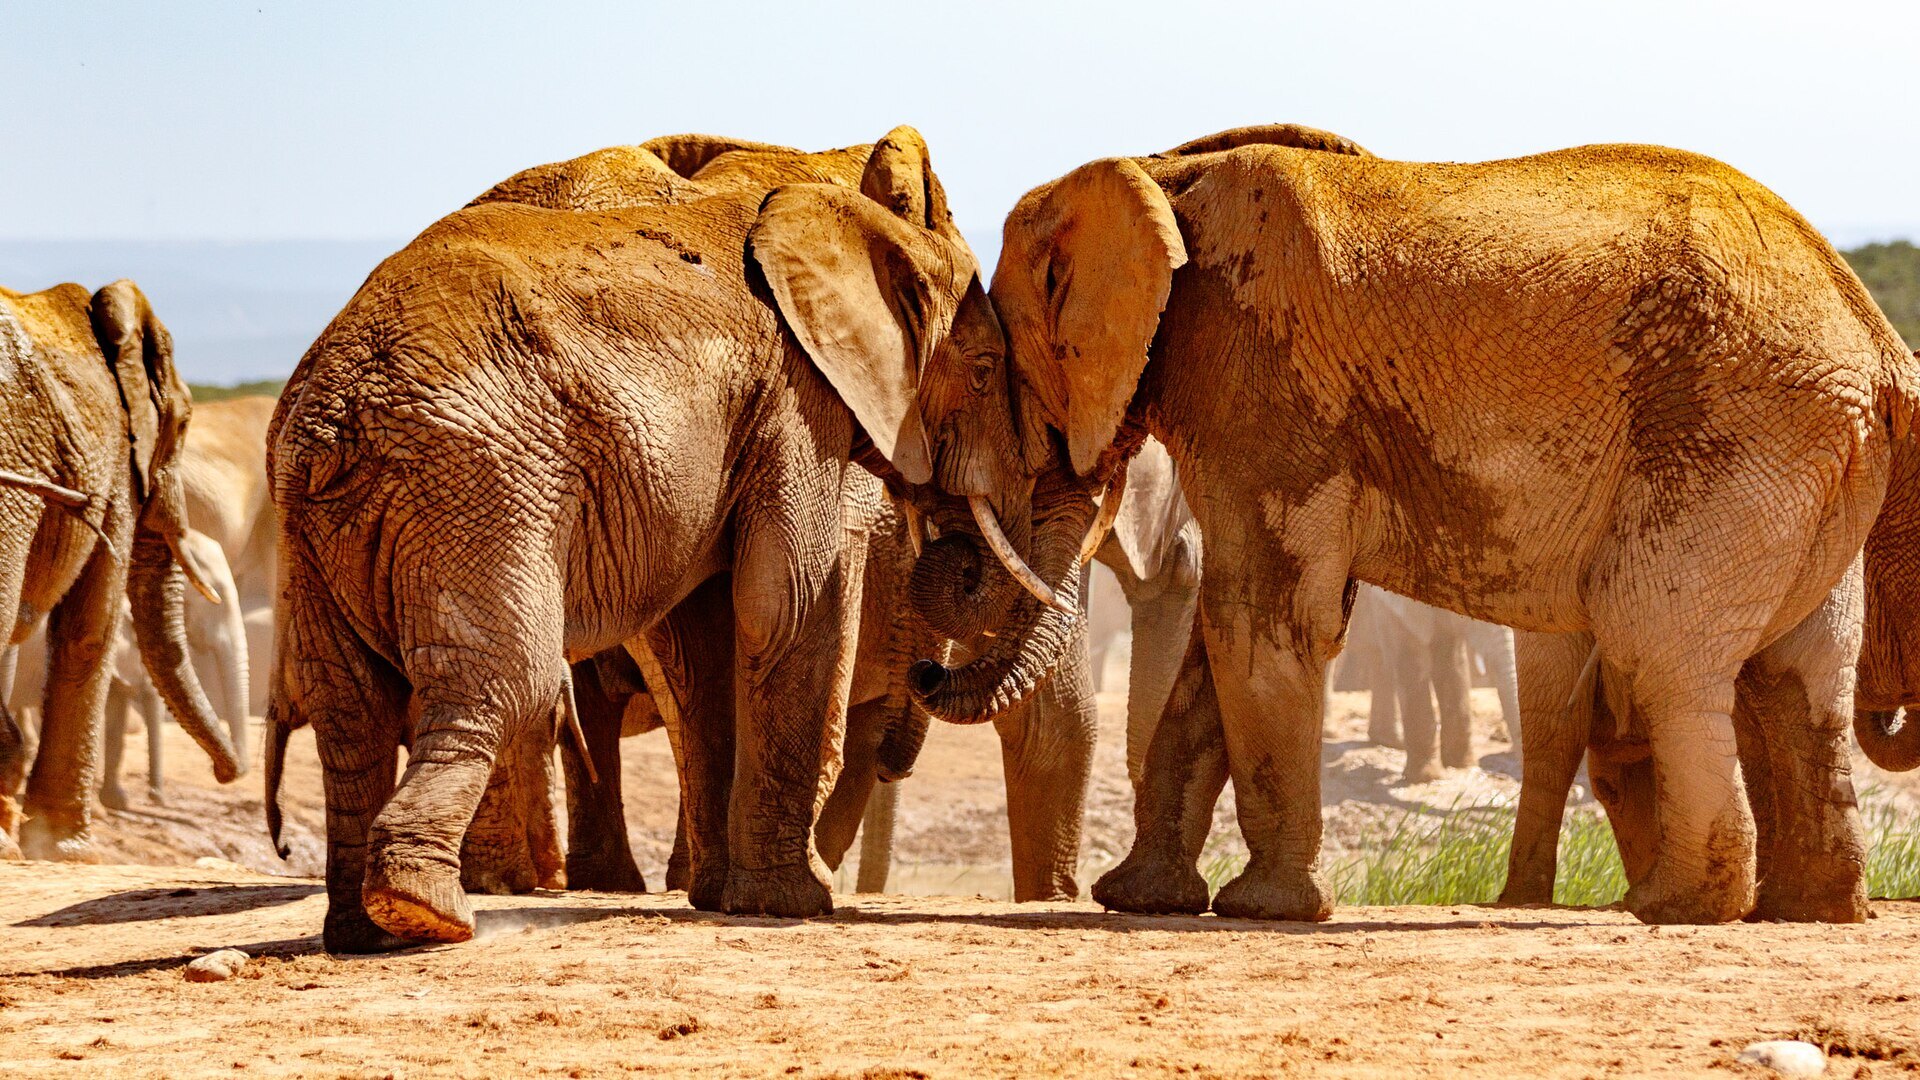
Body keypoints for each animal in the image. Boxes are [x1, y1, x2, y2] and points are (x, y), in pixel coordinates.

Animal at [265, 125, 1040, 953]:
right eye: (987, 370)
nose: (927, 670)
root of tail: (336, 410)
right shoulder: (797, 399)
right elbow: (787, 602)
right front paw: (793, 903)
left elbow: (702, 640)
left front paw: (721, 897)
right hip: (476, 482)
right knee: (507, 680)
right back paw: (428, 914)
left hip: (313, 517)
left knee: (350, 704)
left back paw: (364, 931)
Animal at [907, 122, 1914, 926]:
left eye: (994, 371)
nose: (924, 665)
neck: (1162, 171)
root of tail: (1879, 345)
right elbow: (1222, 635)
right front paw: (1141, 901)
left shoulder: (1262, 377)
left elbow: (1258, 619)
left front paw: (1267, 909)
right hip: (1807, 456)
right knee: (1798, 673)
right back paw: (1809, 911)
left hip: (1733, 433)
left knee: (1660, 646)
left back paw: (1675, 907)